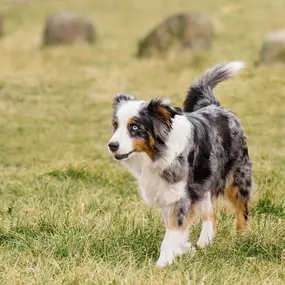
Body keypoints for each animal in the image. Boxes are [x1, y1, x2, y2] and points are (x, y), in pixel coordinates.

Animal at [107, 61, 252, 268]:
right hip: (202, 183)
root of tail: (215, 106)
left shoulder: (181, 196)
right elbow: (176, 229)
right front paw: (184, 249)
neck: (157, 155)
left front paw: (163, 263)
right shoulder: (167, 193)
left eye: (135, 127)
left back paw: (241, 238)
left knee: (242, 210)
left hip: (237, 178)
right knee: (210, 215)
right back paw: (204, 243)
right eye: (115, 125)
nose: (112, 145)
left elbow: (173, 231)